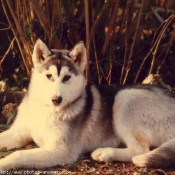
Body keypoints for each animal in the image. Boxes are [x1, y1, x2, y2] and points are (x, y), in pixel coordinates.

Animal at [0, 39, 175, 170]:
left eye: (67, 78)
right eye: (49, 76)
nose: (56, 100)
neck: (46, 110)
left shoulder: (61, 150)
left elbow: (19, 154)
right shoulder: (18, 133)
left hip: (125, 97)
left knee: (139, 150)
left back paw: (106, 153)